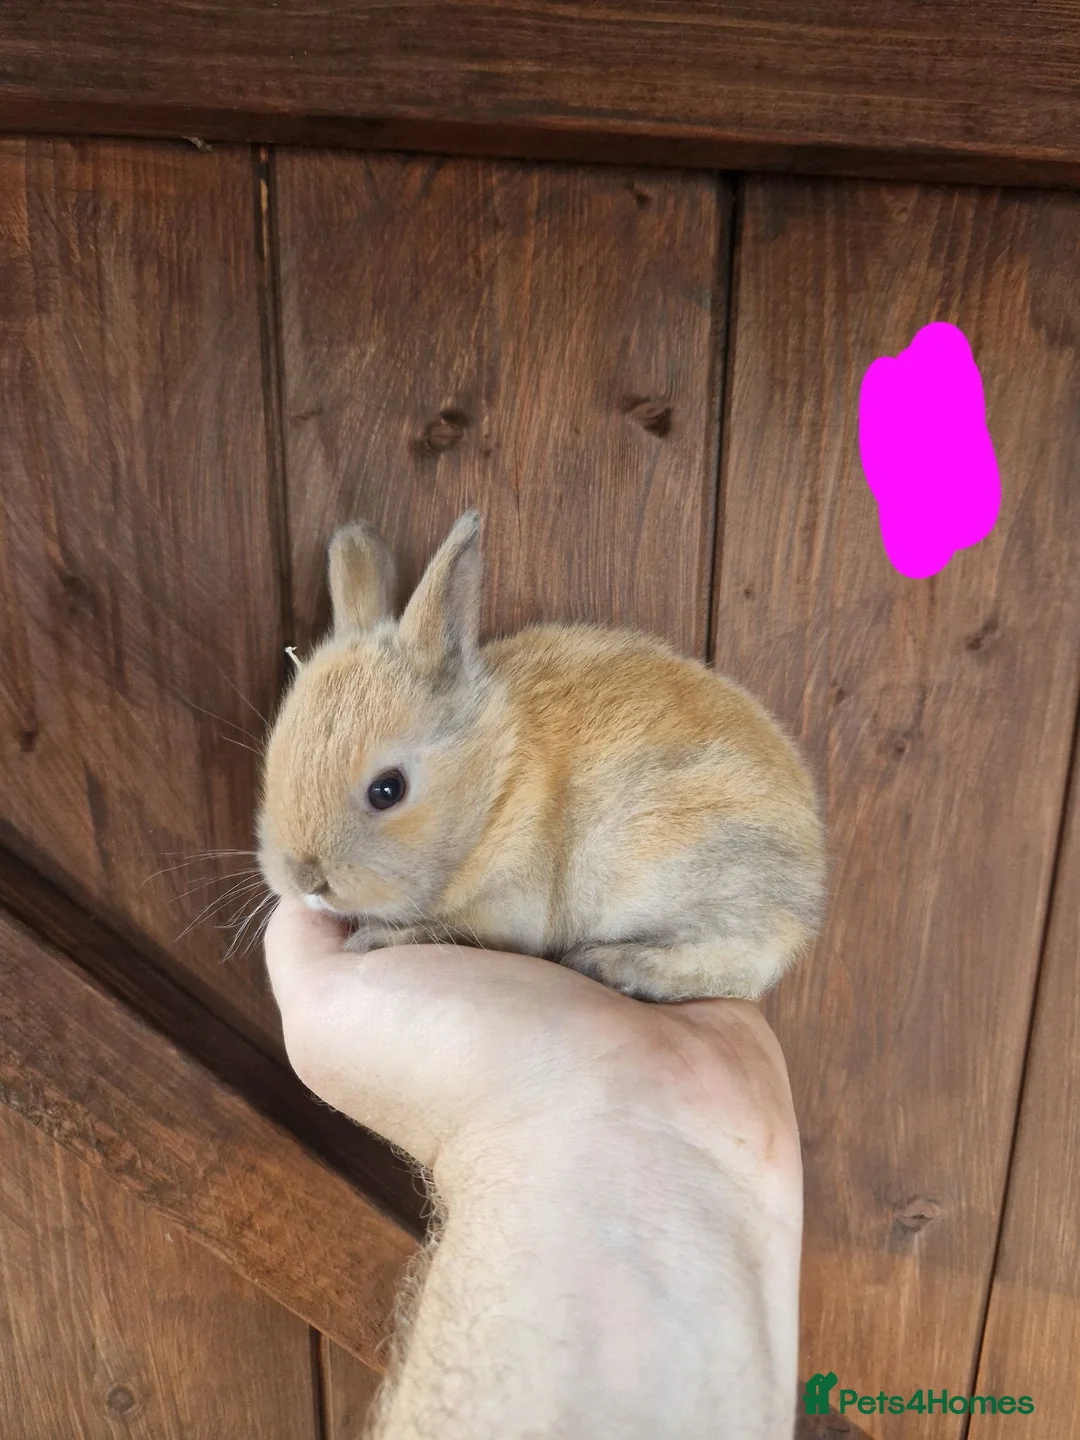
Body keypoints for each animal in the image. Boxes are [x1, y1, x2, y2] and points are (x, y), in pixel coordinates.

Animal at [256, 510, 826, 1002]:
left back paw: (613, 965)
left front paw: (374, 938)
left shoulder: (508, 904)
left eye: (387, 790)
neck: (495, 784)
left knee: (742, 962)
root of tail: (809, 884)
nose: (306, 881)